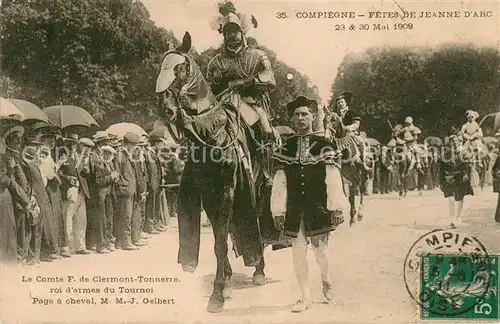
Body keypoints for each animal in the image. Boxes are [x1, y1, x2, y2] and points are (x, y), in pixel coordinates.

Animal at [156, 32, 274, 312]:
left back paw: (259, 270)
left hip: (259, 187)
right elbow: (220, 238)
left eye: (180, 68)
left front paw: (217, 294)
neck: (212, 134)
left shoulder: (226, 191)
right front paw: (226, 282)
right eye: (161, 67)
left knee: (259, 221)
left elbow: (221, 241)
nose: (166, 109)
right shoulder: (207, 194)